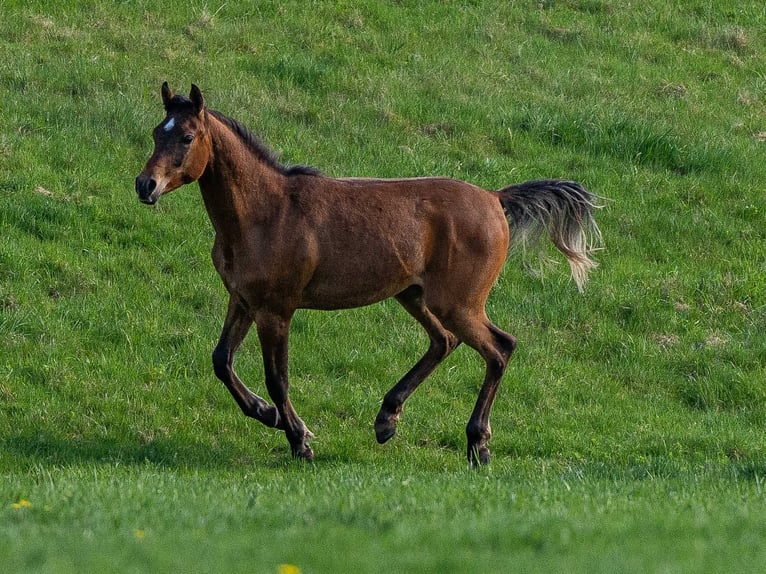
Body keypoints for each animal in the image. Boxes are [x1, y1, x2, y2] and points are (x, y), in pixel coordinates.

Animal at [135, 83, 601, 465]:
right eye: (158, 132)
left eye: (187, 137)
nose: (146, 185)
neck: (263, 213)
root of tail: (494, 198)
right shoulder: (244, 300)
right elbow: (221, 361)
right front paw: (268, 416)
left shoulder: (277, 310)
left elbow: (277, 379)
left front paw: (299, 440)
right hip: (413, 295)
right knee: (444, 341)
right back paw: (386, 420)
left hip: (459, 303)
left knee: (500, 348)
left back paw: (478, 445)